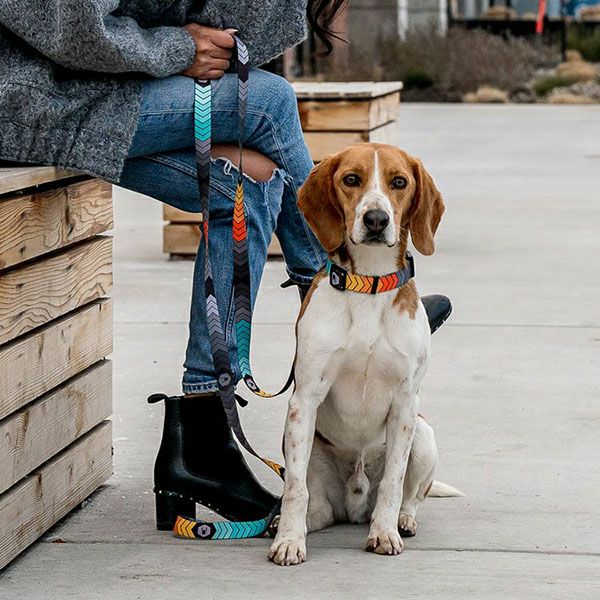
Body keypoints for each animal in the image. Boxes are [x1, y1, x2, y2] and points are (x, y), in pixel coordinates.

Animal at [268, 143, 461, 566]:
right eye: (351, 179)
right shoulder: (304, 400)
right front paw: (289, 540)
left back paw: (401, 520)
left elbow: (392, 483)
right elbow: (295, 489)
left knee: (410, 496)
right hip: (298, 443)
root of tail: (353, 507)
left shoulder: (405, 403)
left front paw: (385, 533)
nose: (376, 218)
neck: (368, 283)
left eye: (399, 182)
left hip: (422, 434)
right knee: (315, 503)